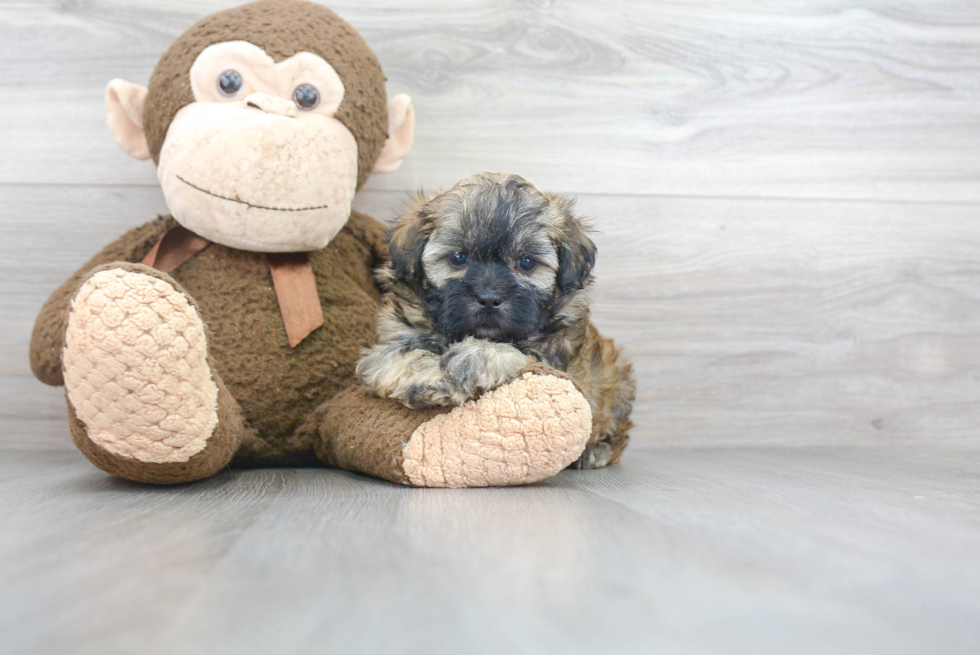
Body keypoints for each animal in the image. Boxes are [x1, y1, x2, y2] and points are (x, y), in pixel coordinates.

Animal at [360, 172, 636, 468]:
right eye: (459, 258)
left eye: (526, 262)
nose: (490, 298)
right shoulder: (390, 344)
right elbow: (401, 357)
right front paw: (429, 376)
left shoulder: (554, 359)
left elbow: (516, 355)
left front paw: (474, 355)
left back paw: (595, 452)